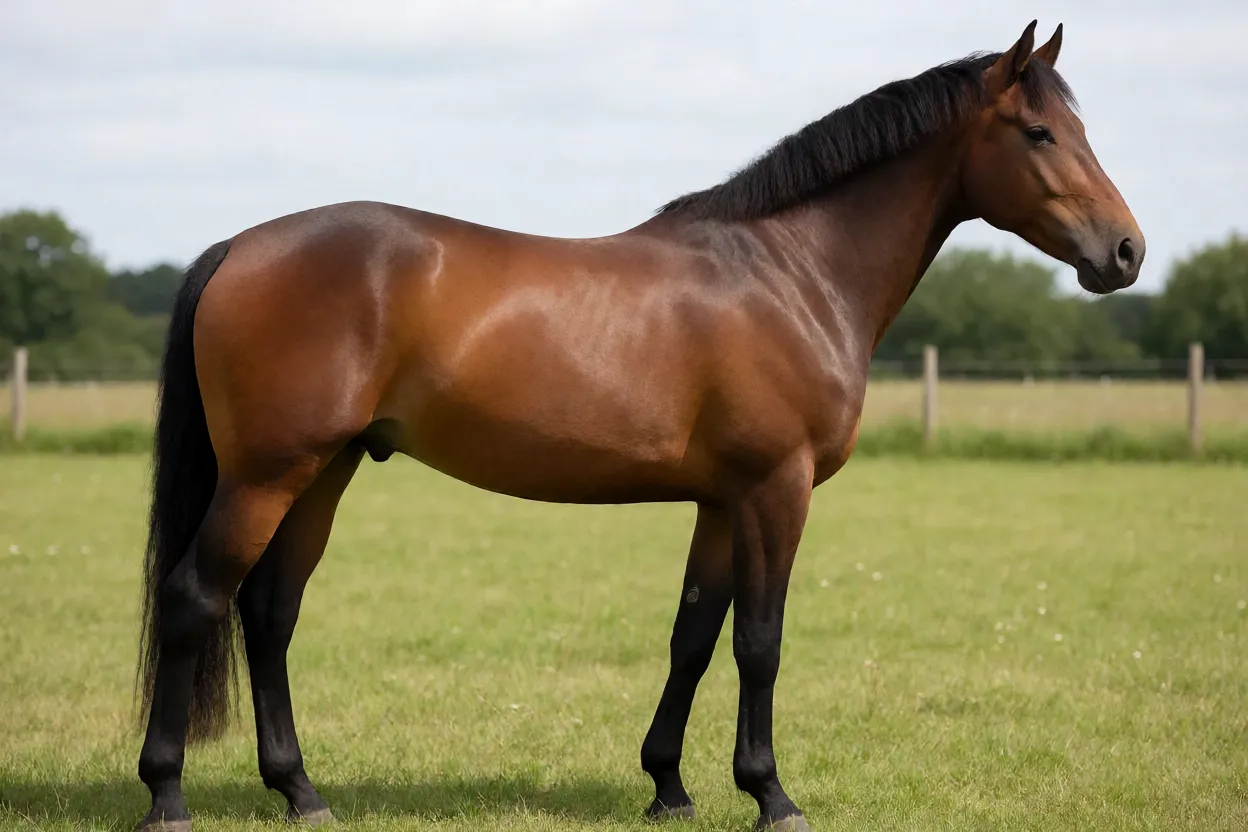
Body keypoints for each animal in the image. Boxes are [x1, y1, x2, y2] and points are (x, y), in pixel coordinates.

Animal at [134, 21, 1143, 831]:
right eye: (1041, 133)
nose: (1126, 251)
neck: (791, 272)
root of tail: (239, 247)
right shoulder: (776, 491)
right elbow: (760, 643)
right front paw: (772, 795)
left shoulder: (722, 501)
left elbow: (693, 636)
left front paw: (670, 788)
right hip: (267, 475)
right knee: (195, 599)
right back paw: (167, 796)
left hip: (324, 470)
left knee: (270, 613)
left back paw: (301, 791)